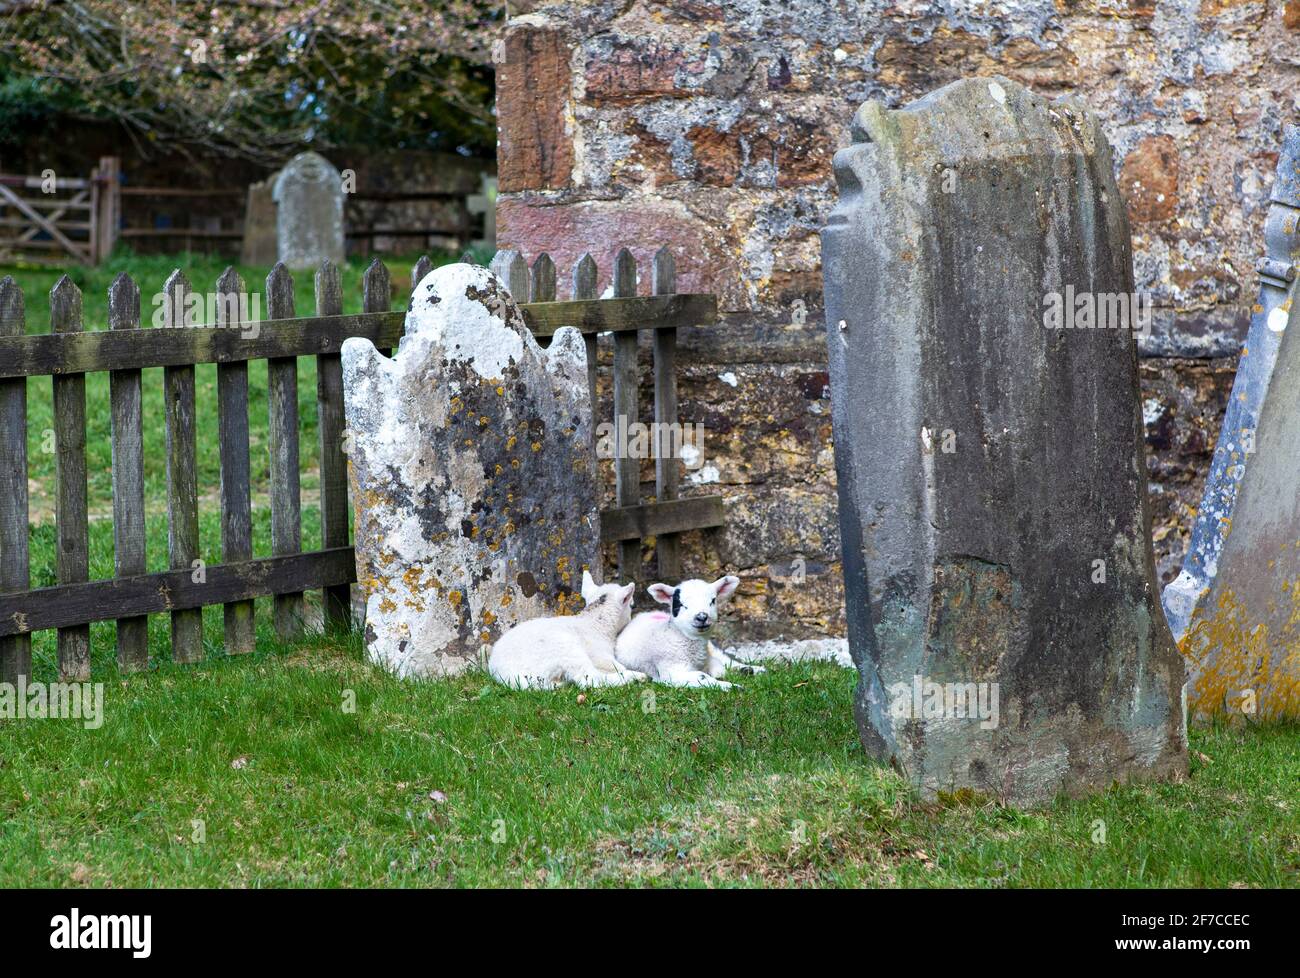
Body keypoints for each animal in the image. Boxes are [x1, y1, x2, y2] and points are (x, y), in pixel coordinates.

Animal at [486, 569, 647, 691]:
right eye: (631, 605)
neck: (594, 621)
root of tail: (507, 674)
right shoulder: (600, 656)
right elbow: (617, 666)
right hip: (566, 648)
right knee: (589, 679)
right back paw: (636, 676)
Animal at [616, 572, 764, 686]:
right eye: (681, 604)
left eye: (713, 600)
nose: (702, 617)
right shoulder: (671, 672)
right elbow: (703, 676)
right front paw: (731, 686)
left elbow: (719, 667)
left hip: (712, 648)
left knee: (727, 660)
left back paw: (753, 669)